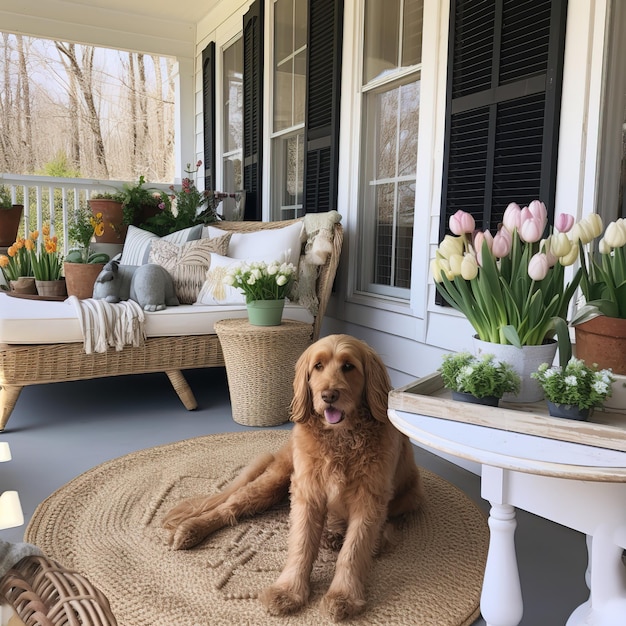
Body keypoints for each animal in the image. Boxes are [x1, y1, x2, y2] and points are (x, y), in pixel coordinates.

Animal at [163, 332, 422, 620]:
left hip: (411, 496)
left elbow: (353, 552)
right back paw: (191, 530)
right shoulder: (307, 493)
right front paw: (288, 591)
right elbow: (301, 544)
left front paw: (342, 595)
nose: (329, 395)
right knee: (229, 507)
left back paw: (351, 536)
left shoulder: (369, 500)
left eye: (348, 366)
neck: (341, 440)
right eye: (318, 366)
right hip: (273, 481)